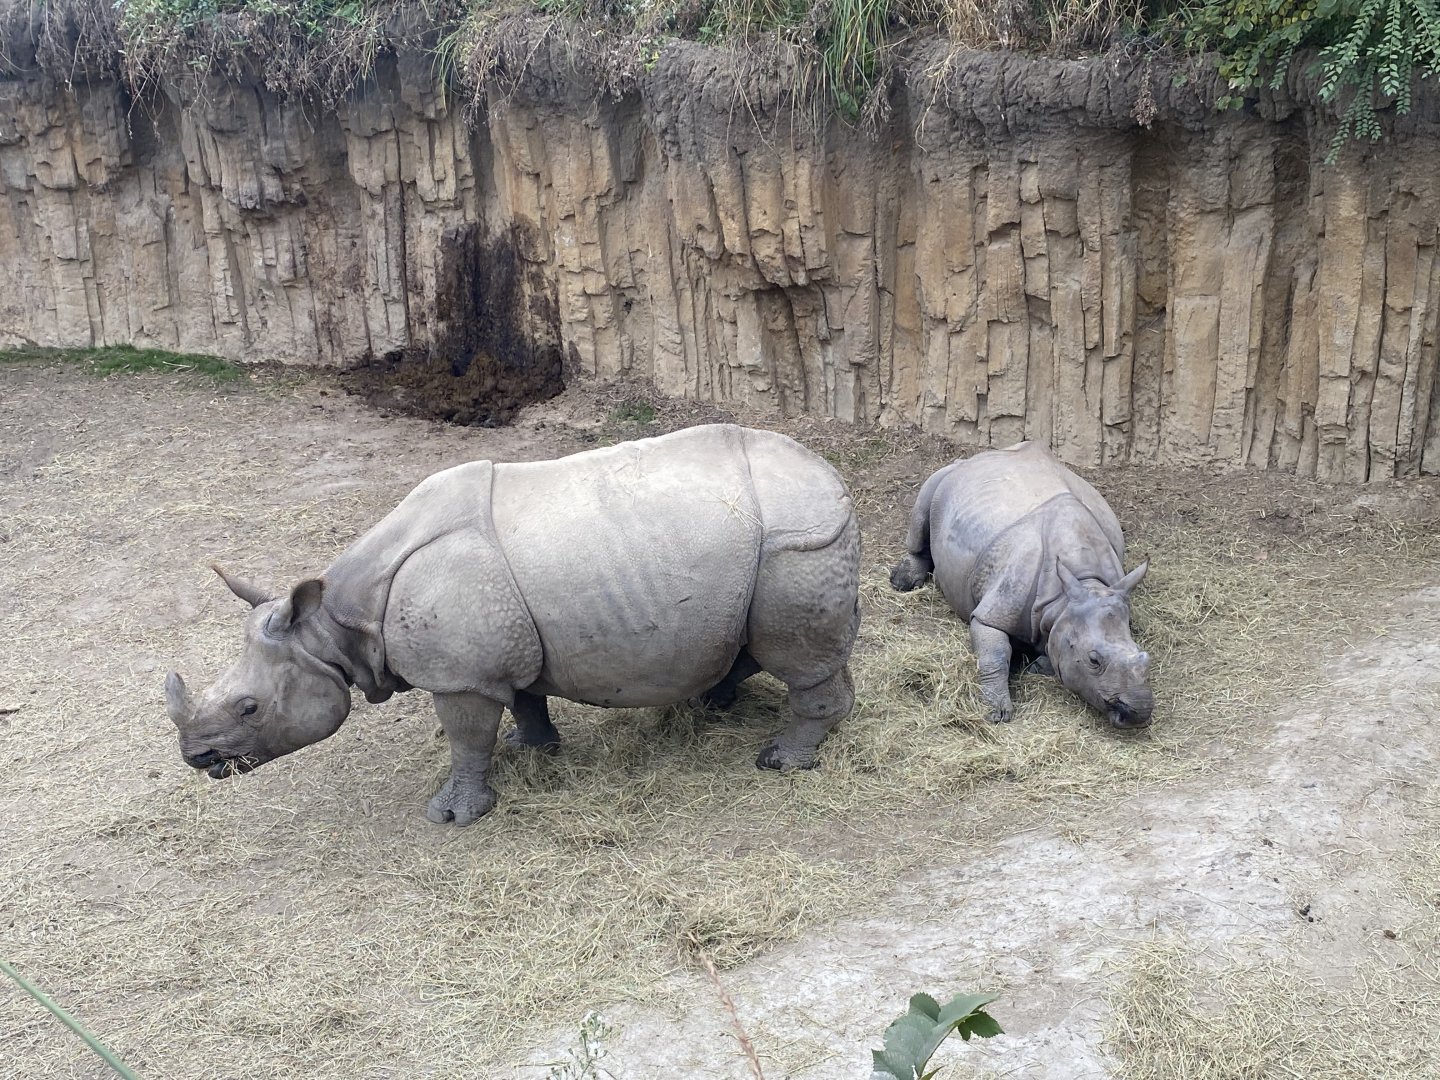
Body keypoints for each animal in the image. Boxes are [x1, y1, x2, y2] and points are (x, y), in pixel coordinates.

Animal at [166, 424, 861, 825]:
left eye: (250, 708)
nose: (198, 759)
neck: (336, 624)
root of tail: (831, 475)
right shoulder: (498, 651)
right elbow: (525, 697)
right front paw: (532, 748)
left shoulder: (459, 675)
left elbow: (466, 738)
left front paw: (453, 815)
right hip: (766, 547)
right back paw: (715, 703)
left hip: (796, 545)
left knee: (796, 656)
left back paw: (780, 761)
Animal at [889, 440, 1152, 729]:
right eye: (1094, 660)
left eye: (1143, 654)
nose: (1138, 712)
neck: (1076, 589)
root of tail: (983, 455)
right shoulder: (996, 609)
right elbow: (995, 654)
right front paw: (997, 712)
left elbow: (1054, 646)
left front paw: (1036, 665)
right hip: (948, 473)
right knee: (925, 503)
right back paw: (902, 582)